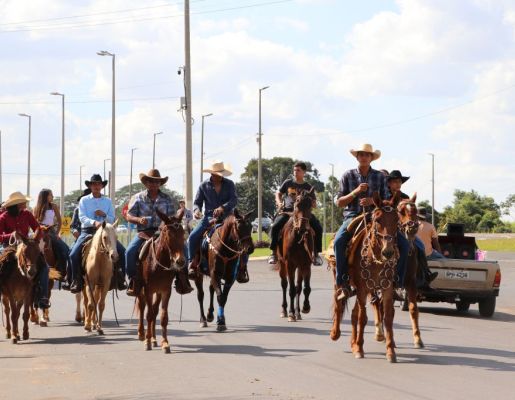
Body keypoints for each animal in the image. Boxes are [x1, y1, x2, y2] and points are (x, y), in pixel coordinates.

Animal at [136, 209, 186, 354]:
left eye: (183, 233)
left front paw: (165, 343)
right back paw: (142, 334)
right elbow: (148, 315)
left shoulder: (165, 291)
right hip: (141, 290)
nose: (180, 261)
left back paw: (153, 338)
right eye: (168, 234)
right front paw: (147, 342)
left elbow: (163, 317)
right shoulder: (148, 289)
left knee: (155, 310)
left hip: (157, 292)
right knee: (143, 307)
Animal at [280, 188, 316, 322]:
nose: (303, 228)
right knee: (284, 285)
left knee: (298, 288)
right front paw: (291, 314)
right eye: (297, 205)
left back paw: (298, 312)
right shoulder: (289, 264)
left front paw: (305, 308)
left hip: (299, 267)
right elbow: (290, 289)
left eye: (310, 205)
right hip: (282, 265)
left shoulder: (306, 264)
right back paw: (285, 311)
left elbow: (305, 288)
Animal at [330, 191, 404, 362]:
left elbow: (387, 318)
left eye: (396, 220)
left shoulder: (387, 288)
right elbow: (362, 318)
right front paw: (359, 348)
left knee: (353, 313)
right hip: (341, 281)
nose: (388, 252)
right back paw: (335, 333)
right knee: (339, 302)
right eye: (377, 219)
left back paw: (353, 343)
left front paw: (390, 351)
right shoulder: (363, 288)